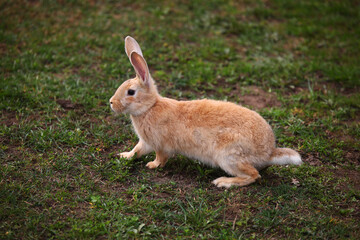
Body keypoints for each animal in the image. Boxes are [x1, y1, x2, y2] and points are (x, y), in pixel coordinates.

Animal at [109, 36, 300, 188]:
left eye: (131, 92)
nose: (111, 103)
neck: (150, 107)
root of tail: (268, 152)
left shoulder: (159, 144)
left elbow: (160, 157)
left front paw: (152, 165)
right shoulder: (144, 142)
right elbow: (136, 150)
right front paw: (124, 156)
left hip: (228, 156)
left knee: (254, 175)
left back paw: (223, 182)